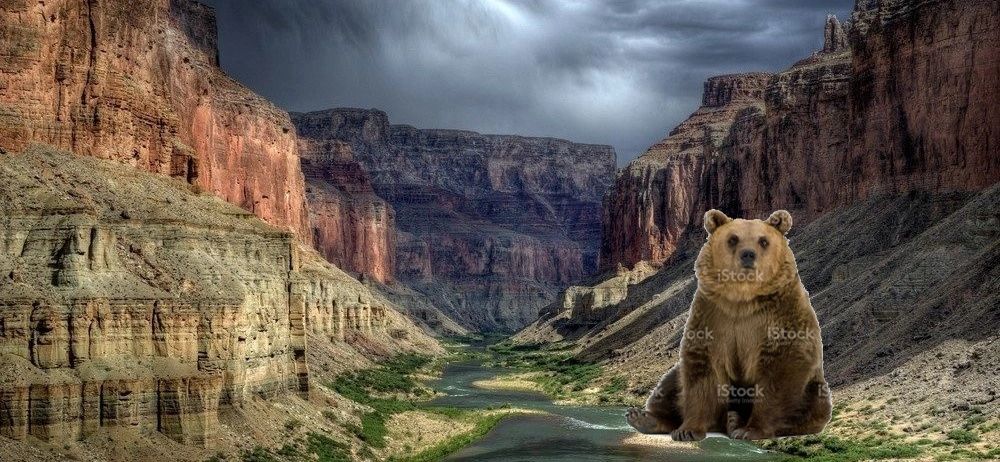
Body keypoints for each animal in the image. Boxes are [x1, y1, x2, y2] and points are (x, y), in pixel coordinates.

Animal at [626, 209, 831, 441]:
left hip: (815, 389)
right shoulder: (714, 316)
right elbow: (702, 370)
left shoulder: (781, 315)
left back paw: (737, 422)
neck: (742, 299)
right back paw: (644, 418)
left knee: (812, 403)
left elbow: (782, 369)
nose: (748, 254)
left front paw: (750, 430)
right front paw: (687, 430)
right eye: (733, 239)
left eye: (763, 241)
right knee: (671, 382)